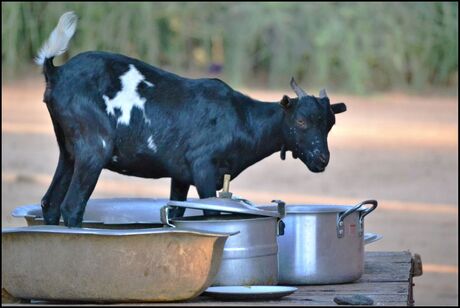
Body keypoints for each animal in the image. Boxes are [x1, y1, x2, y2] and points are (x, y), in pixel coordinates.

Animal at [36, 12, 344, 226]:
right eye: (301, 121)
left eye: (329, 124)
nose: (322, 159)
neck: (243, 118)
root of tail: (56, 72)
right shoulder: (203, 167)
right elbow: (211, 214)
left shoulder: (180, 175)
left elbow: (176, 211)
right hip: (94, 146)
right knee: (71, 206)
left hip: (69, 150)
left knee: (50, 203)